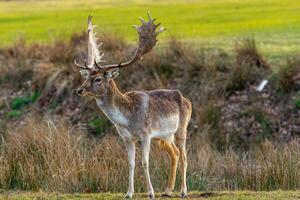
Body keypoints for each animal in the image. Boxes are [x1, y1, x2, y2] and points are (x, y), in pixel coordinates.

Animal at [75, 13, 192, 198]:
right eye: (86, 77)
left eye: (98, 79)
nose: (80, 90)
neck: (127, 120)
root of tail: (188, 101)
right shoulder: (127, 138)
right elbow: (130, 163)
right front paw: (128, 193)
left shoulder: (146, 134)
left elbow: (144, 162)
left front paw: (150, 193)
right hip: (164, 136)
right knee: (175, 153)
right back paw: (167, 190)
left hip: (181, 129)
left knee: (184, 156)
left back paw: (183, 191)